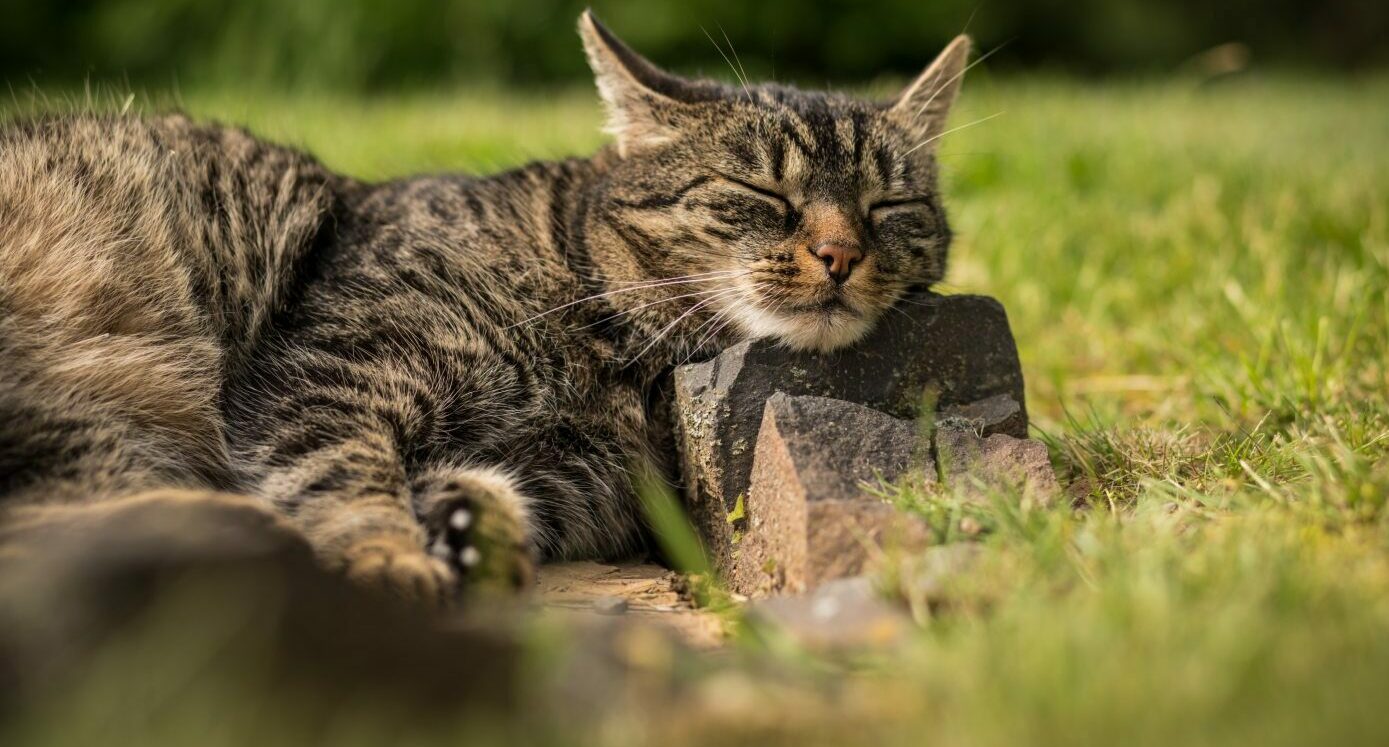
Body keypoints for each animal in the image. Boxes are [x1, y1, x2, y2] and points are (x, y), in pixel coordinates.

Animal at [0, 11, 972, 602]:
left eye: (889, 206)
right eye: (761, 193)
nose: (841, 253)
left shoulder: (567, 475)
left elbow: (478, 488)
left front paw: (470, 523)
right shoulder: (333, 370)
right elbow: (345, 473)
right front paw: (393, 554)